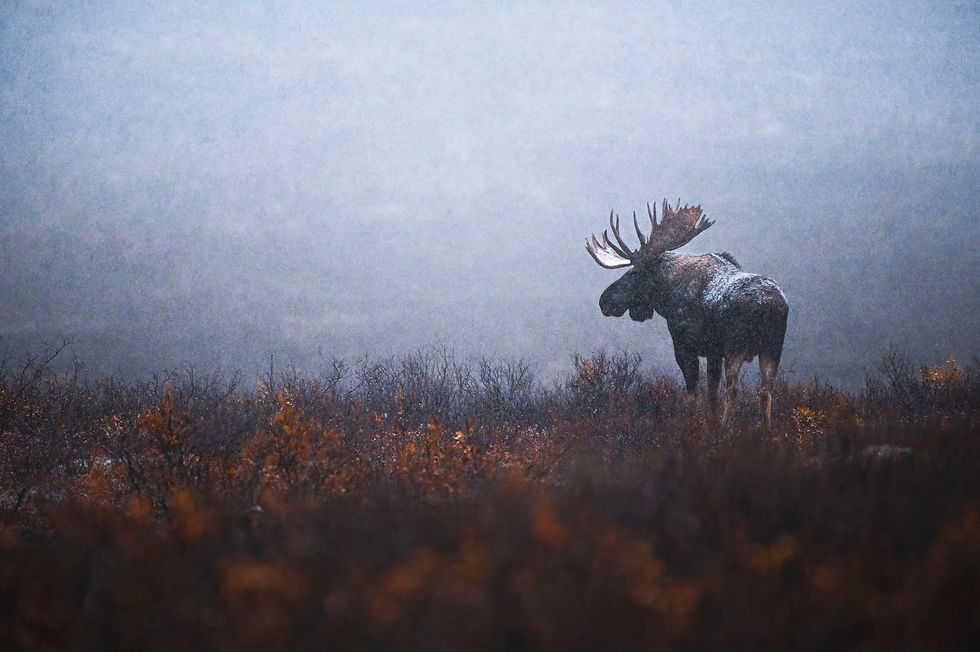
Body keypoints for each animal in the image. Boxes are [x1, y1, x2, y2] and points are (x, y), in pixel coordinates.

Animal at [586, 198, 788, 427]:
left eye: (635, 272)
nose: (604, 300)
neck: (667, 297)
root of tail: (767, 305)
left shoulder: (684, 346)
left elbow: (692, 393)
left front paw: (694, 427)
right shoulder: (713, 352)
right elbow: (711, 394)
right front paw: (710, 423)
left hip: (736, 346)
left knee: (734, 389)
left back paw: (725, 428)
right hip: (772, 347)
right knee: (765, 391)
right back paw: (765, 430)